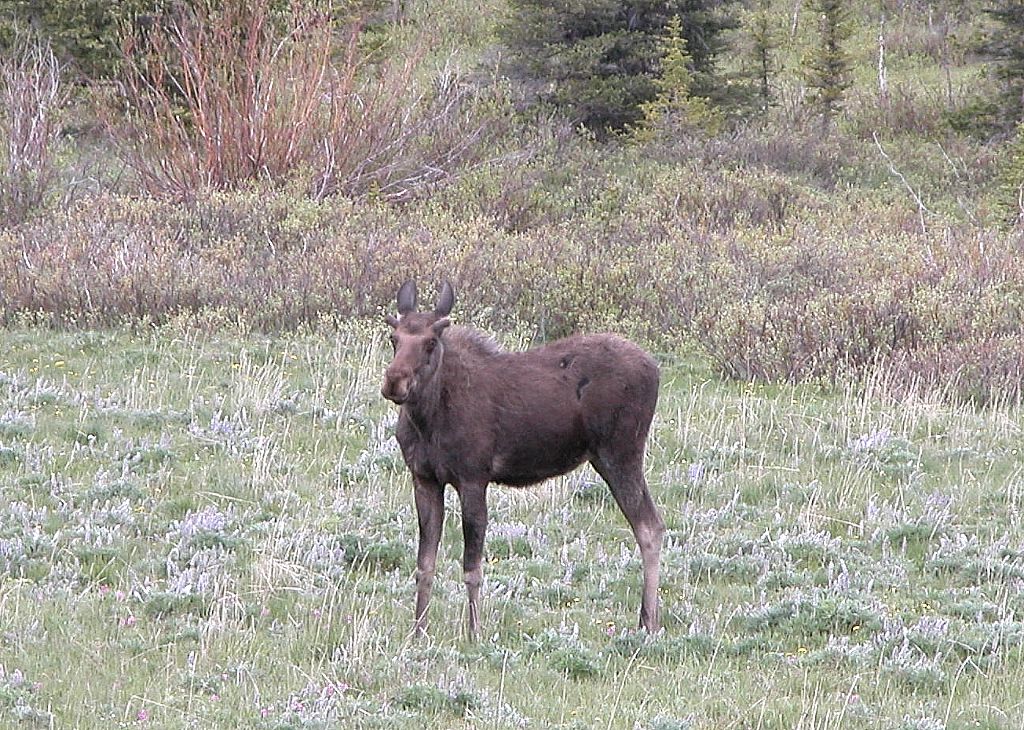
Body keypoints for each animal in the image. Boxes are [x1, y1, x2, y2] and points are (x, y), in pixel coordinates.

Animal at [382, 282, 663, 634]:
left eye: (431, 342)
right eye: (394, 338)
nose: (394, 381)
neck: (427, 419)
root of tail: (656, 369)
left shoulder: (473, 477)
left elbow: (472, 568)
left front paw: (474, 632)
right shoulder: (424, 478)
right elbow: (425, 564)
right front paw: (418, 631)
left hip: (620, 453)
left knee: (650, 527)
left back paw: (648, 622)